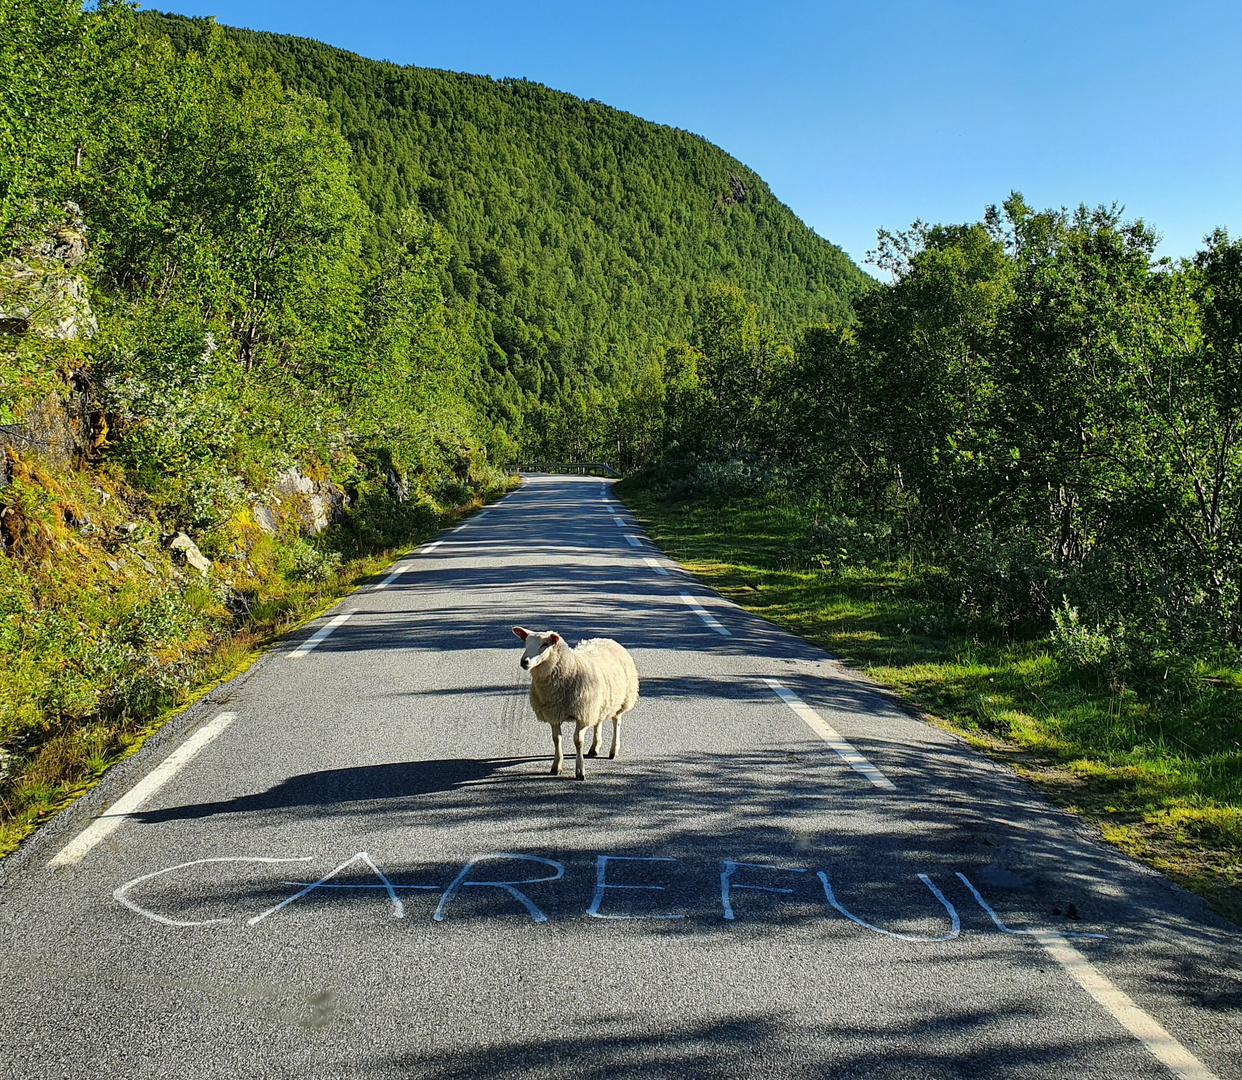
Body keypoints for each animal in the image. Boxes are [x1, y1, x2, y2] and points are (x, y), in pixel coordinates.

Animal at [511, 630, 640, 784]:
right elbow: (556, 739)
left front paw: (580, 771)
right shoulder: (554, 715)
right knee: (598, 721)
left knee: (616, 722)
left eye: (545, 644)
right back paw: (594, 747)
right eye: (526, 643)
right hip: (598, 703)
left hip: (622, 699)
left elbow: (578, 741)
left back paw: (614, 751)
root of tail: (606, 639)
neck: (571, 669)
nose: (524, 661)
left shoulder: (582, 714)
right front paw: (556, 767)